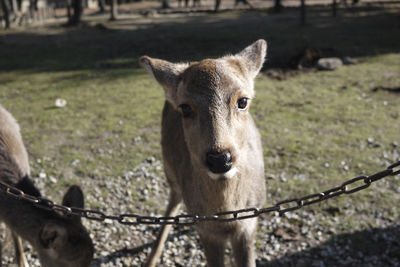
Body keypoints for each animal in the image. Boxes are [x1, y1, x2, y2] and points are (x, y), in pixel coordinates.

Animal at [141, 40, 268, 267]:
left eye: (243, 101)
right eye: (185, 108)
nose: (219, 159)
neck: (226, 215)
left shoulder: (250, 221)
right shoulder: (205, 228)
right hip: (170, 168)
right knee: (174, 198)